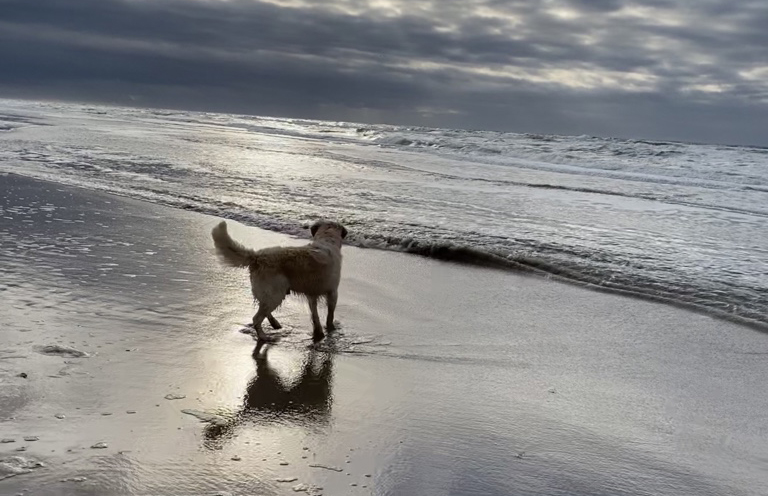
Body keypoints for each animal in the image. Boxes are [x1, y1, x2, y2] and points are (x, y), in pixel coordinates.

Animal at [212, 220, 346, 340]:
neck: (327, 239)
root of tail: (257, 257)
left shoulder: (312, 294)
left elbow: (315, 315)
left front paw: (319, 332)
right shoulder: (333, 292)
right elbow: (330, 314)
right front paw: (330, 329)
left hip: (271, 292)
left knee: (263, 308)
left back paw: (274, 324)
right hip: (275, 293)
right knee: (257, 318)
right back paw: (263, 336)